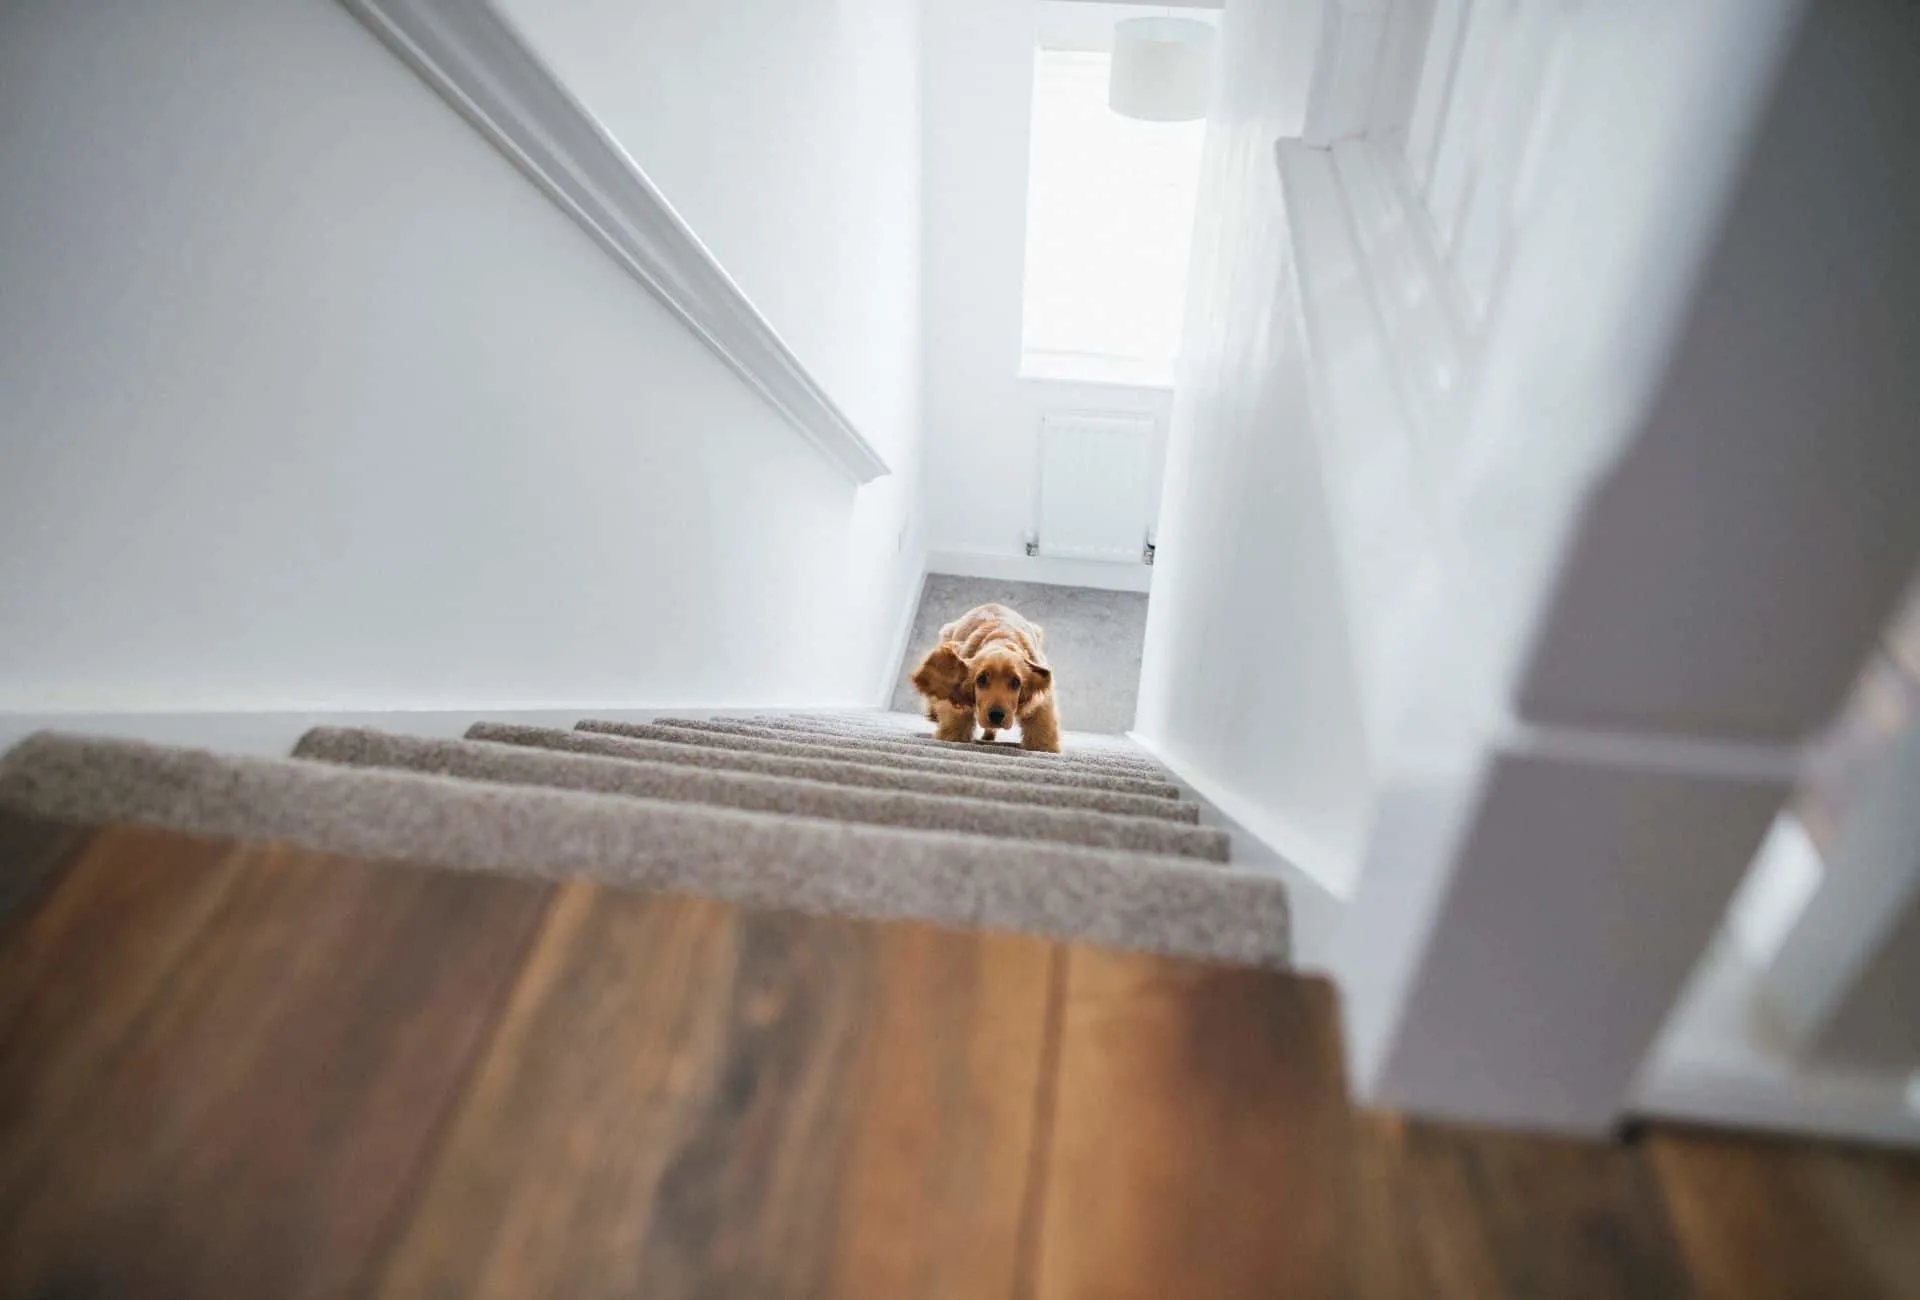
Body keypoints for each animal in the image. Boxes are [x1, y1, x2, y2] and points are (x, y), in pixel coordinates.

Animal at [902, 606, 1059, 756]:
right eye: (981, 679)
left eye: (1016, 682)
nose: (996, 715)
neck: (1002, 637)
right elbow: (956, 720)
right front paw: (951, 737)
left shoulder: (1041, 700)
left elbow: (1042, 725)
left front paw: (1045, 748)